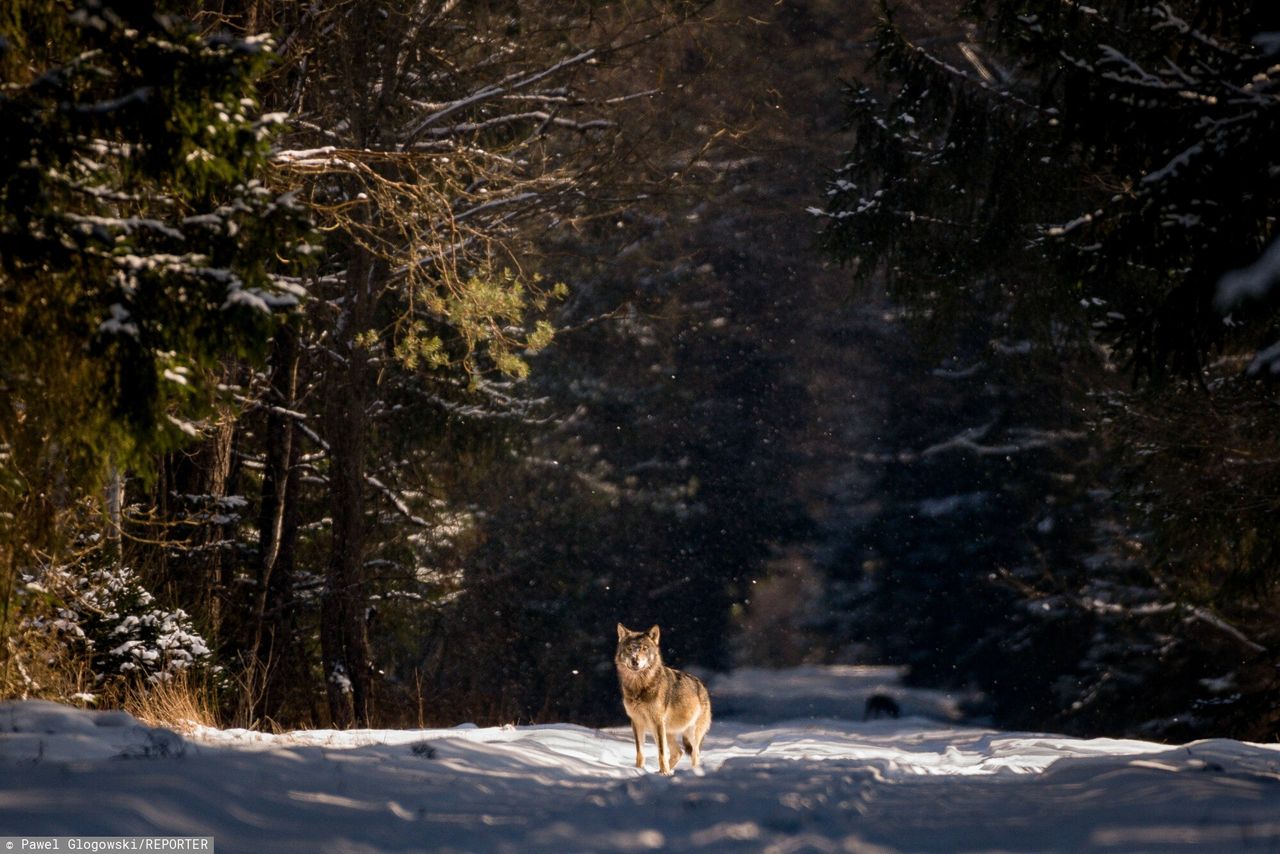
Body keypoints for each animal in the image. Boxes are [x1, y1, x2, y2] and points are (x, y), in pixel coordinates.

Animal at [611, 622, 711, 773]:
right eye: (629, 649)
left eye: (644, 648)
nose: (635, 660)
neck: (640, 686)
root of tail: (702, 686)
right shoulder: (637, 721)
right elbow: (640, 752)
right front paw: (639, 770)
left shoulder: (657, 721)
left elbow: (661, 752)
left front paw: (664, 773)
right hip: (666, 731)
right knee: (678, 752)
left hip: (689, 733)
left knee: (695, 754)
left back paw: (692, 772)